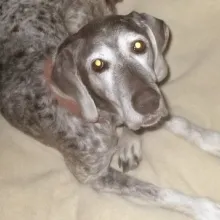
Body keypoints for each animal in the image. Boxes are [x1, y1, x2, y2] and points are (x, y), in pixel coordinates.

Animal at [0, 0, 220, 220]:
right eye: (98, 64)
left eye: (139, 45)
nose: (149, 102)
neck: (107, 114)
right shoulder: (94, 176)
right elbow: (158, 192)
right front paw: (205, 208)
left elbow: (182, 124)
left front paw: (212, 140)